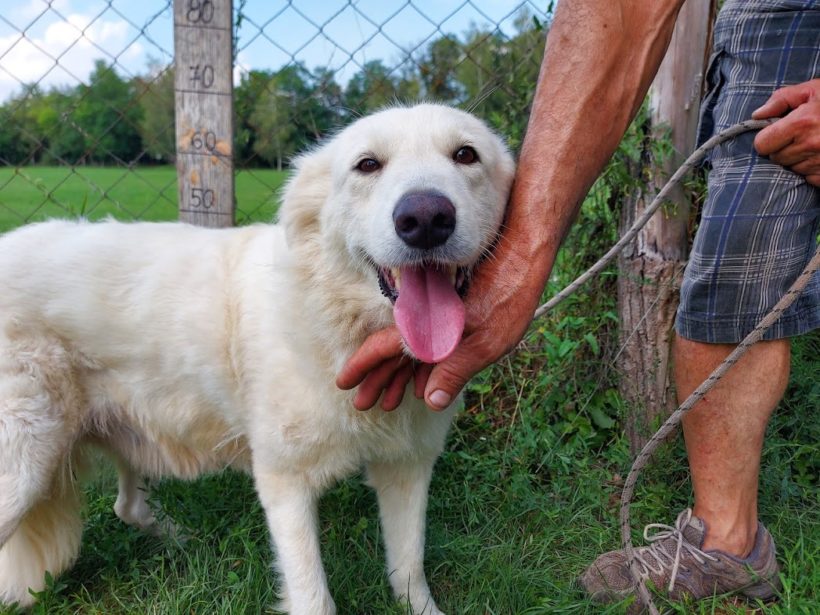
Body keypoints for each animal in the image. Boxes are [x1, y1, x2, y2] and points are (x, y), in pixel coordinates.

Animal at [0, 104, 514, 614]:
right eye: (368, 164)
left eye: (465, 155)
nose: (425, 218)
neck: (333, 323)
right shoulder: (285, 482)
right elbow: (313, 597)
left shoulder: (408, 466)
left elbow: (409, 569)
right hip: (24, 468)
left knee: (124, 507)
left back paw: (183, 539)